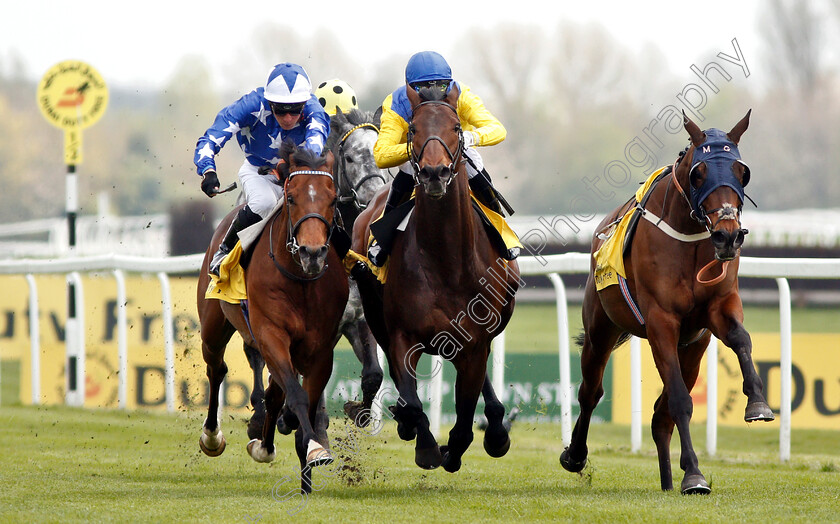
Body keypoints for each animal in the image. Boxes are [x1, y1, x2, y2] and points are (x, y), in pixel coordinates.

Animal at [197, 141, 348, 494]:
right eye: (291, 198)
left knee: (273, 392)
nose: (312, 253)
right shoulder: (271, 334)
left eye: (332, 198)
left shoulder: (320, 349)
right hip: (213, 327)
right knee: (217, 369)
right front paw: (311, 445)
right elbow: (296, 394)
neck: (300, 280)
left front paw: (309, 465)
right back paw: (212, 437)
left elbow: (299, 398)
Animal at [350, 83, 520, 470]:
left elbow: (465, 419)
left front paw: (458, 448)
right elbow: (413, 401)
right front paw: (425, 444)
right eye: (413, 129)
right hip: (374, 312)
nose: (434, 173)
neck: (447, 261)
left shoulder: (474, 341)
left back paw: (496, 429)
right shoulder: (402, 334)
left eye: (456, 127)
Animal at [560, 110, 772, 496]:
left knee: (661, 415)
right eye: (698, 172)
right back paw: (576, 455)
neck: (690, 238)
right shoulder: (661, 321)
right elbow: (680, 401)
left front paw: (757, 403)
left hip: (692, 349)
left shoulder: (717, 307)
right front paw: (695, 475)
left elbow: (741, 339)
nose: (728, 235)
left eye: (741, 171)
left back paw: (668, 479)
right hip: (601, 330)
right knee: (591, 392)